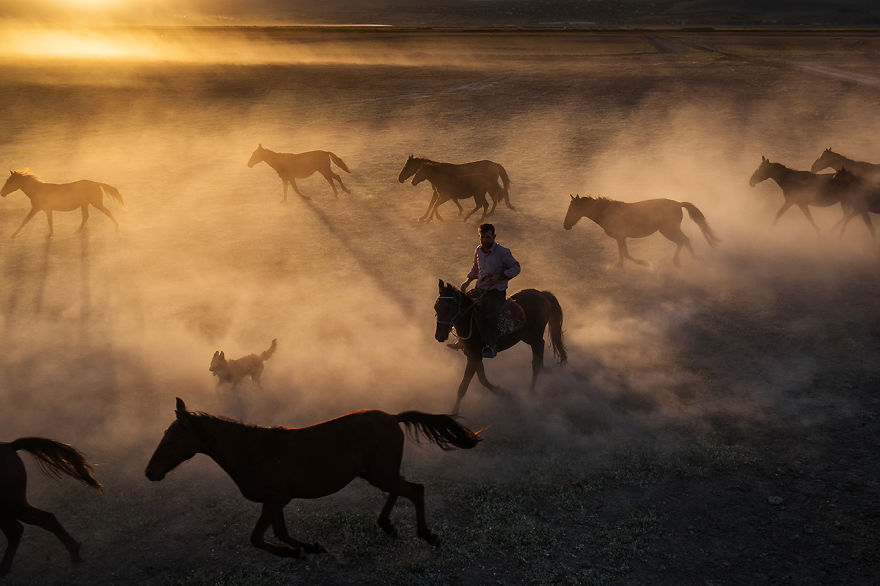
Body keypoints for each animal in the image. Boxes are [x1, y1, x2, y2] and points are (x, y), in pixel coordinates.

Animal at [145, 398, 481, 557]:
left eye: (171, 440)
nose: (150, 472)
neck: (252, 451)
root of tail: (393, 417)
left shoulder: (274, 500)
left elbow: (258, 537)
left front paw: (294, 552)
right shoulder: (276, 502)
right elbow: (279, 532)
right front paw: (307, 548)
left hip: (381, 473)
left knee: (416, 489)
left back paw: (427, 534)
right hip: (377, 473)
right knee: (402, 489)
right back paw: (386, 524)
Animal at [434, 280, 566, 413]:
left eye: (448, 308)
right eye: (436, 307)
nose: (439, 336)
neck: (472, 322)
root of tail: (542, 294)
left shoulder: (474, 357)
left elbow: (464, 386)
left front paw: (454, 411)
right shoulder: (474, 357)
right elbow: (482, 378)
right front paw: (501, 392)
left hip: (535, 334)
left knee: (537, 357)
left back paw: (532, 391)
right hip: (526, 336)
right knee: (540, 347)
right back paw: (543, 370)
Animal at [563, 194, 720, 267]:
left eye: (572, 210)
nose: (565, 226)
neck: (607, 212)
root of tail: (678, 204)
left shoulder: (620, 236)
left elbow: (626, 254)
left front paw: (644, 263)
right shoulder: (621, 237)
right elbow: (623, 253)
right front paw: (620, 266)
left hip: (668, 230)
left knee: (683, 240)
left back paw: (681, 260)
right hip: (670, 230)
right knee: (684, 241)